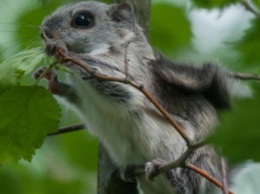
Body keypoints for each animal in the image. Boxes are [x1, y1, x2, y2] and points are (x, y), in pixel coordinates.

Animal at [33, 1, 251, 192]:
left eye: (83, 19)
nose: (44, 32)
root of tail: (219, 176)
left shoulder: (133, 76)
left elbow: (113, 83)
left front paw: (61, 51)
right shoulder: (83, 98)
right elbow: (75, 96)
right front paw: (50, 78)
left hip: (190, 157)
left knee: (189, 186)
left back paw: (170, 175)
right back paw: (130, 171)